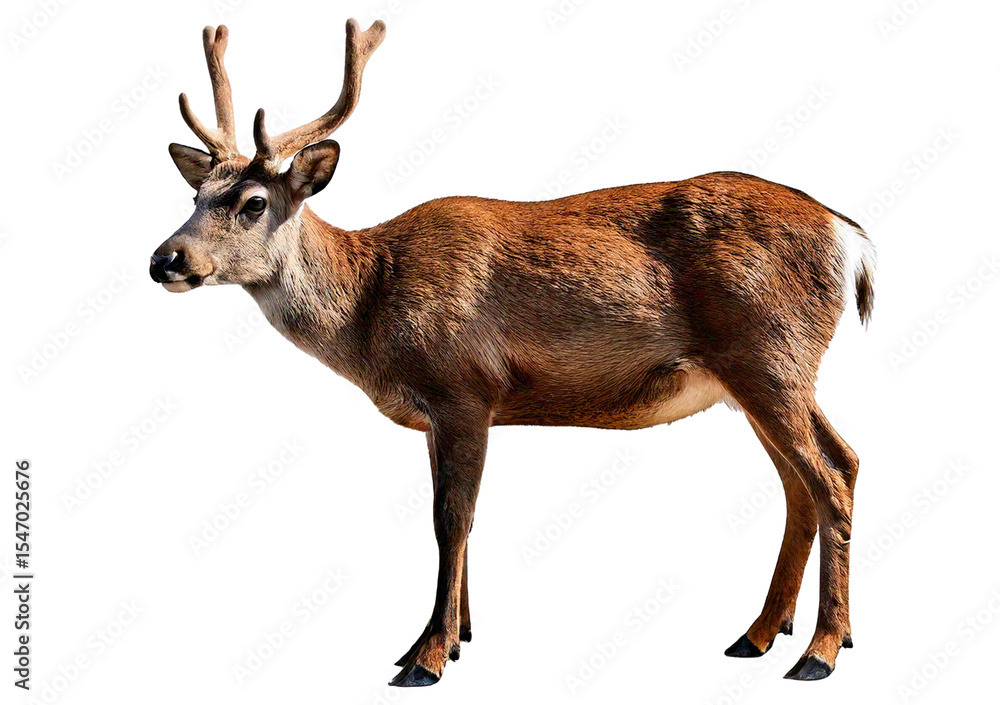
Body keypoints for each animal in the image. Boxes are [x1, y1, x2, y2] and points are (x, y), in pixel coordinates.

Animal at [150, 19, 875, 686]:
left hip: (770, 353)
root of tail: (851, 237)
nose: (165, 259)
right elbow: (453, 517)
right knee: (802, 482)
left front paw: (426, 656)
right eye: (194, 195)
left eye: (253, 203)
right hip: (759, 376)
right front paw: (457, 636)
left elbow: (451, 519)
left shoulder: (464, 386)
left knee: (835, 471)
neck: (370, 307)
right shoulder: (438, 414)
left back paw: (821, 650)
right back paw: (758, 635)